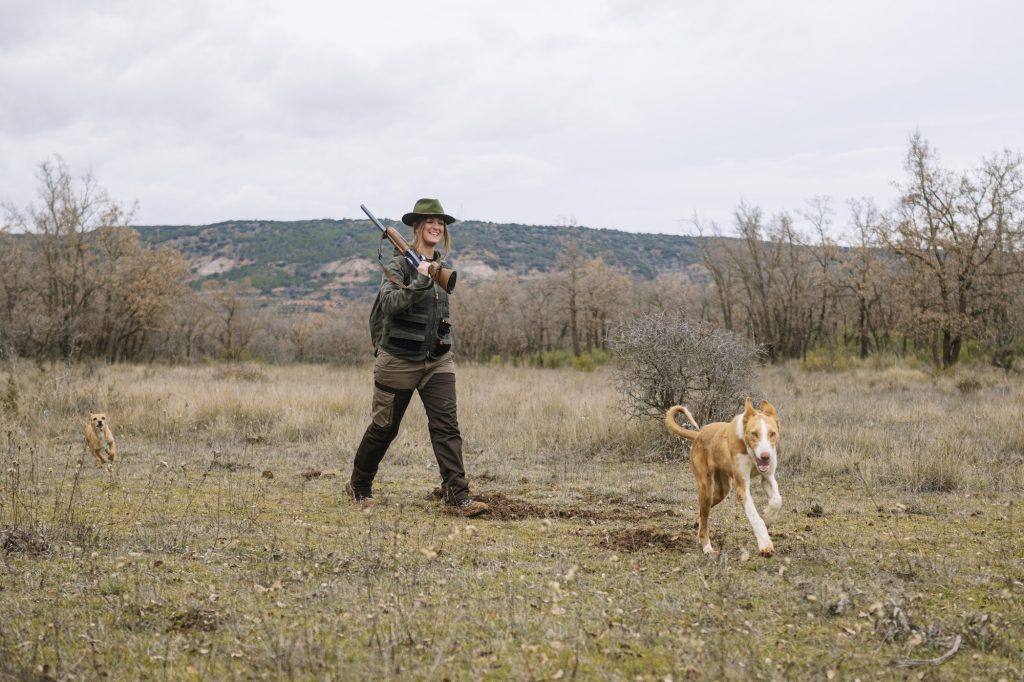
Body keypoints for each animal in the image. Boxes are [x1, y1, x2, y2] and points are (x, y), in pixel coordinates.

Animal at [663, 395, 782, 557]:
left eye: (772, 433)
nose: (765, 457)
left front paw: (768, 518)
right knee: (705, 516)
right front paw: (765, 544)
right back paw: (706, 546)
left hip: (722, 490)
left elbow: (777, 500)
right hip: (706, 488)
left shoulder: (768, 477)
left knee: (703, 513)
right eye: (754, 433)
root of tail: (699, 434)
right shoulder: (742, 488)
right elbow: (755, 517)